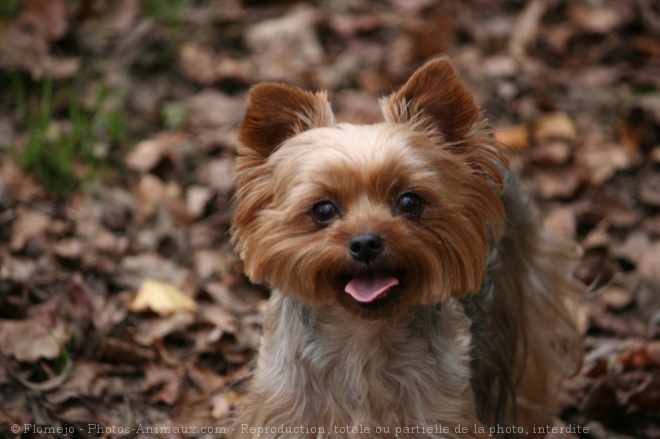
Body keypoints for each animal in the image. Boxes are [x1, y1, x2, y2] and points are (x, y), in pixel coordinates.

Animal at [228, 56, 584, 438]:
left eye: (410, 202)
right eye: (323, 210)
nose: (366, 243)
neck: (362, 339)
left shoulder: (444, 416)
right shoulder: (282, 415)